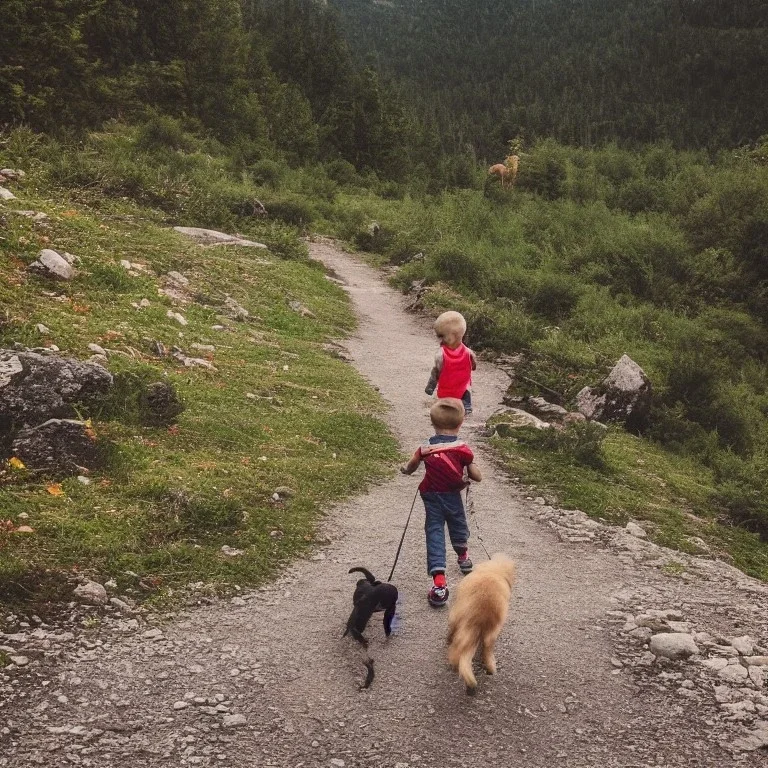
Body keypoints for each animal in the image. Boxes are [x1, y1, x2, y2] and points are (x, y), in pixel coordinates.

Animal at [444, 548, 516, 692]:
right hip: (492, 631)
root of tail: (483, 613)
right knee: (487, 648)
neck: (494, 570)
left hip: (456, 615)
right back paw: (489, 668)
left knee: (456, 643)